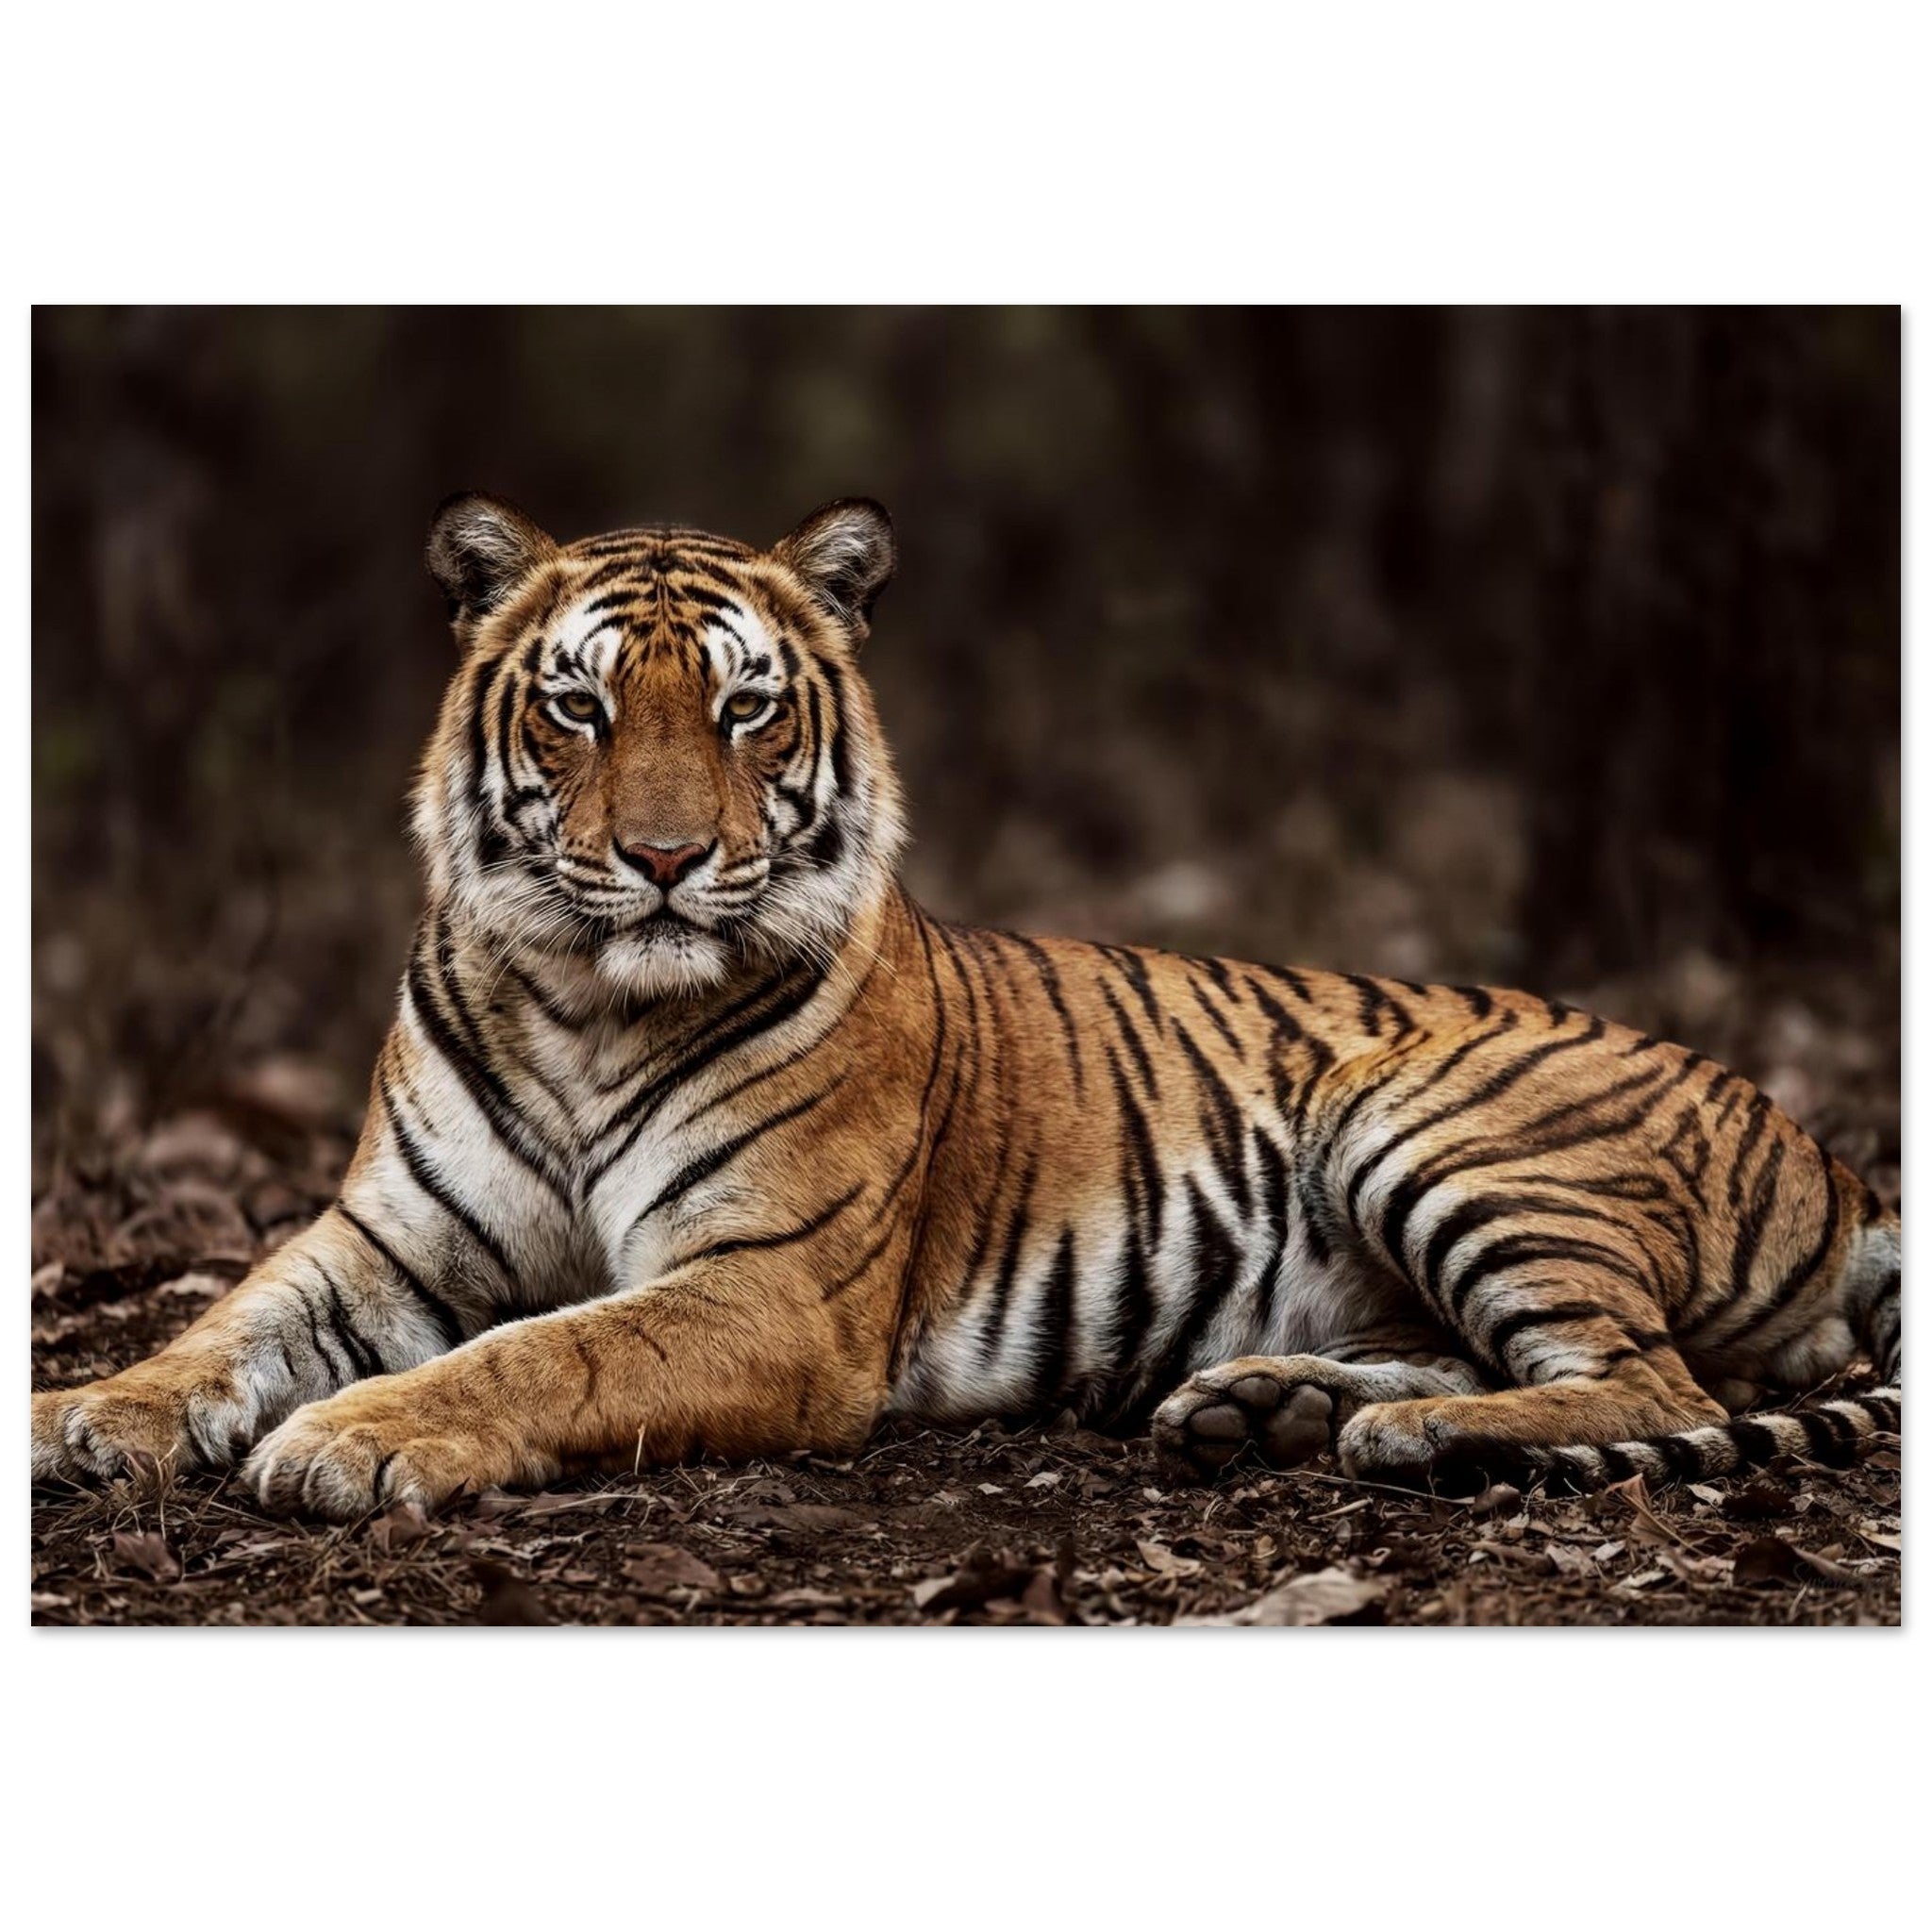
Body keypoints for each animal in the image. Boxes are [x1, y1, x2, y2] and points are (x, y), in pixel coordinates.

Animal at [31, 495, 1901, 1519]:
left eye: (745, 710)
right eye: (578, 707)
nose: (661, 859)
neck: (581, 1003)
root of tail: (1828, 1147)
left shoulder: (765, 1287)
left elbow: (544, 1350)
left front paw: (350, 1439)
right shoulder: (385, 1239)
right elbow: (222, 1327)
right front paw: (78, 1417)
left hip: (1433, 1115)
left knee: (1653, 1386)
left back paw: (1412, 1435)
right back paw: (1277, 1406)